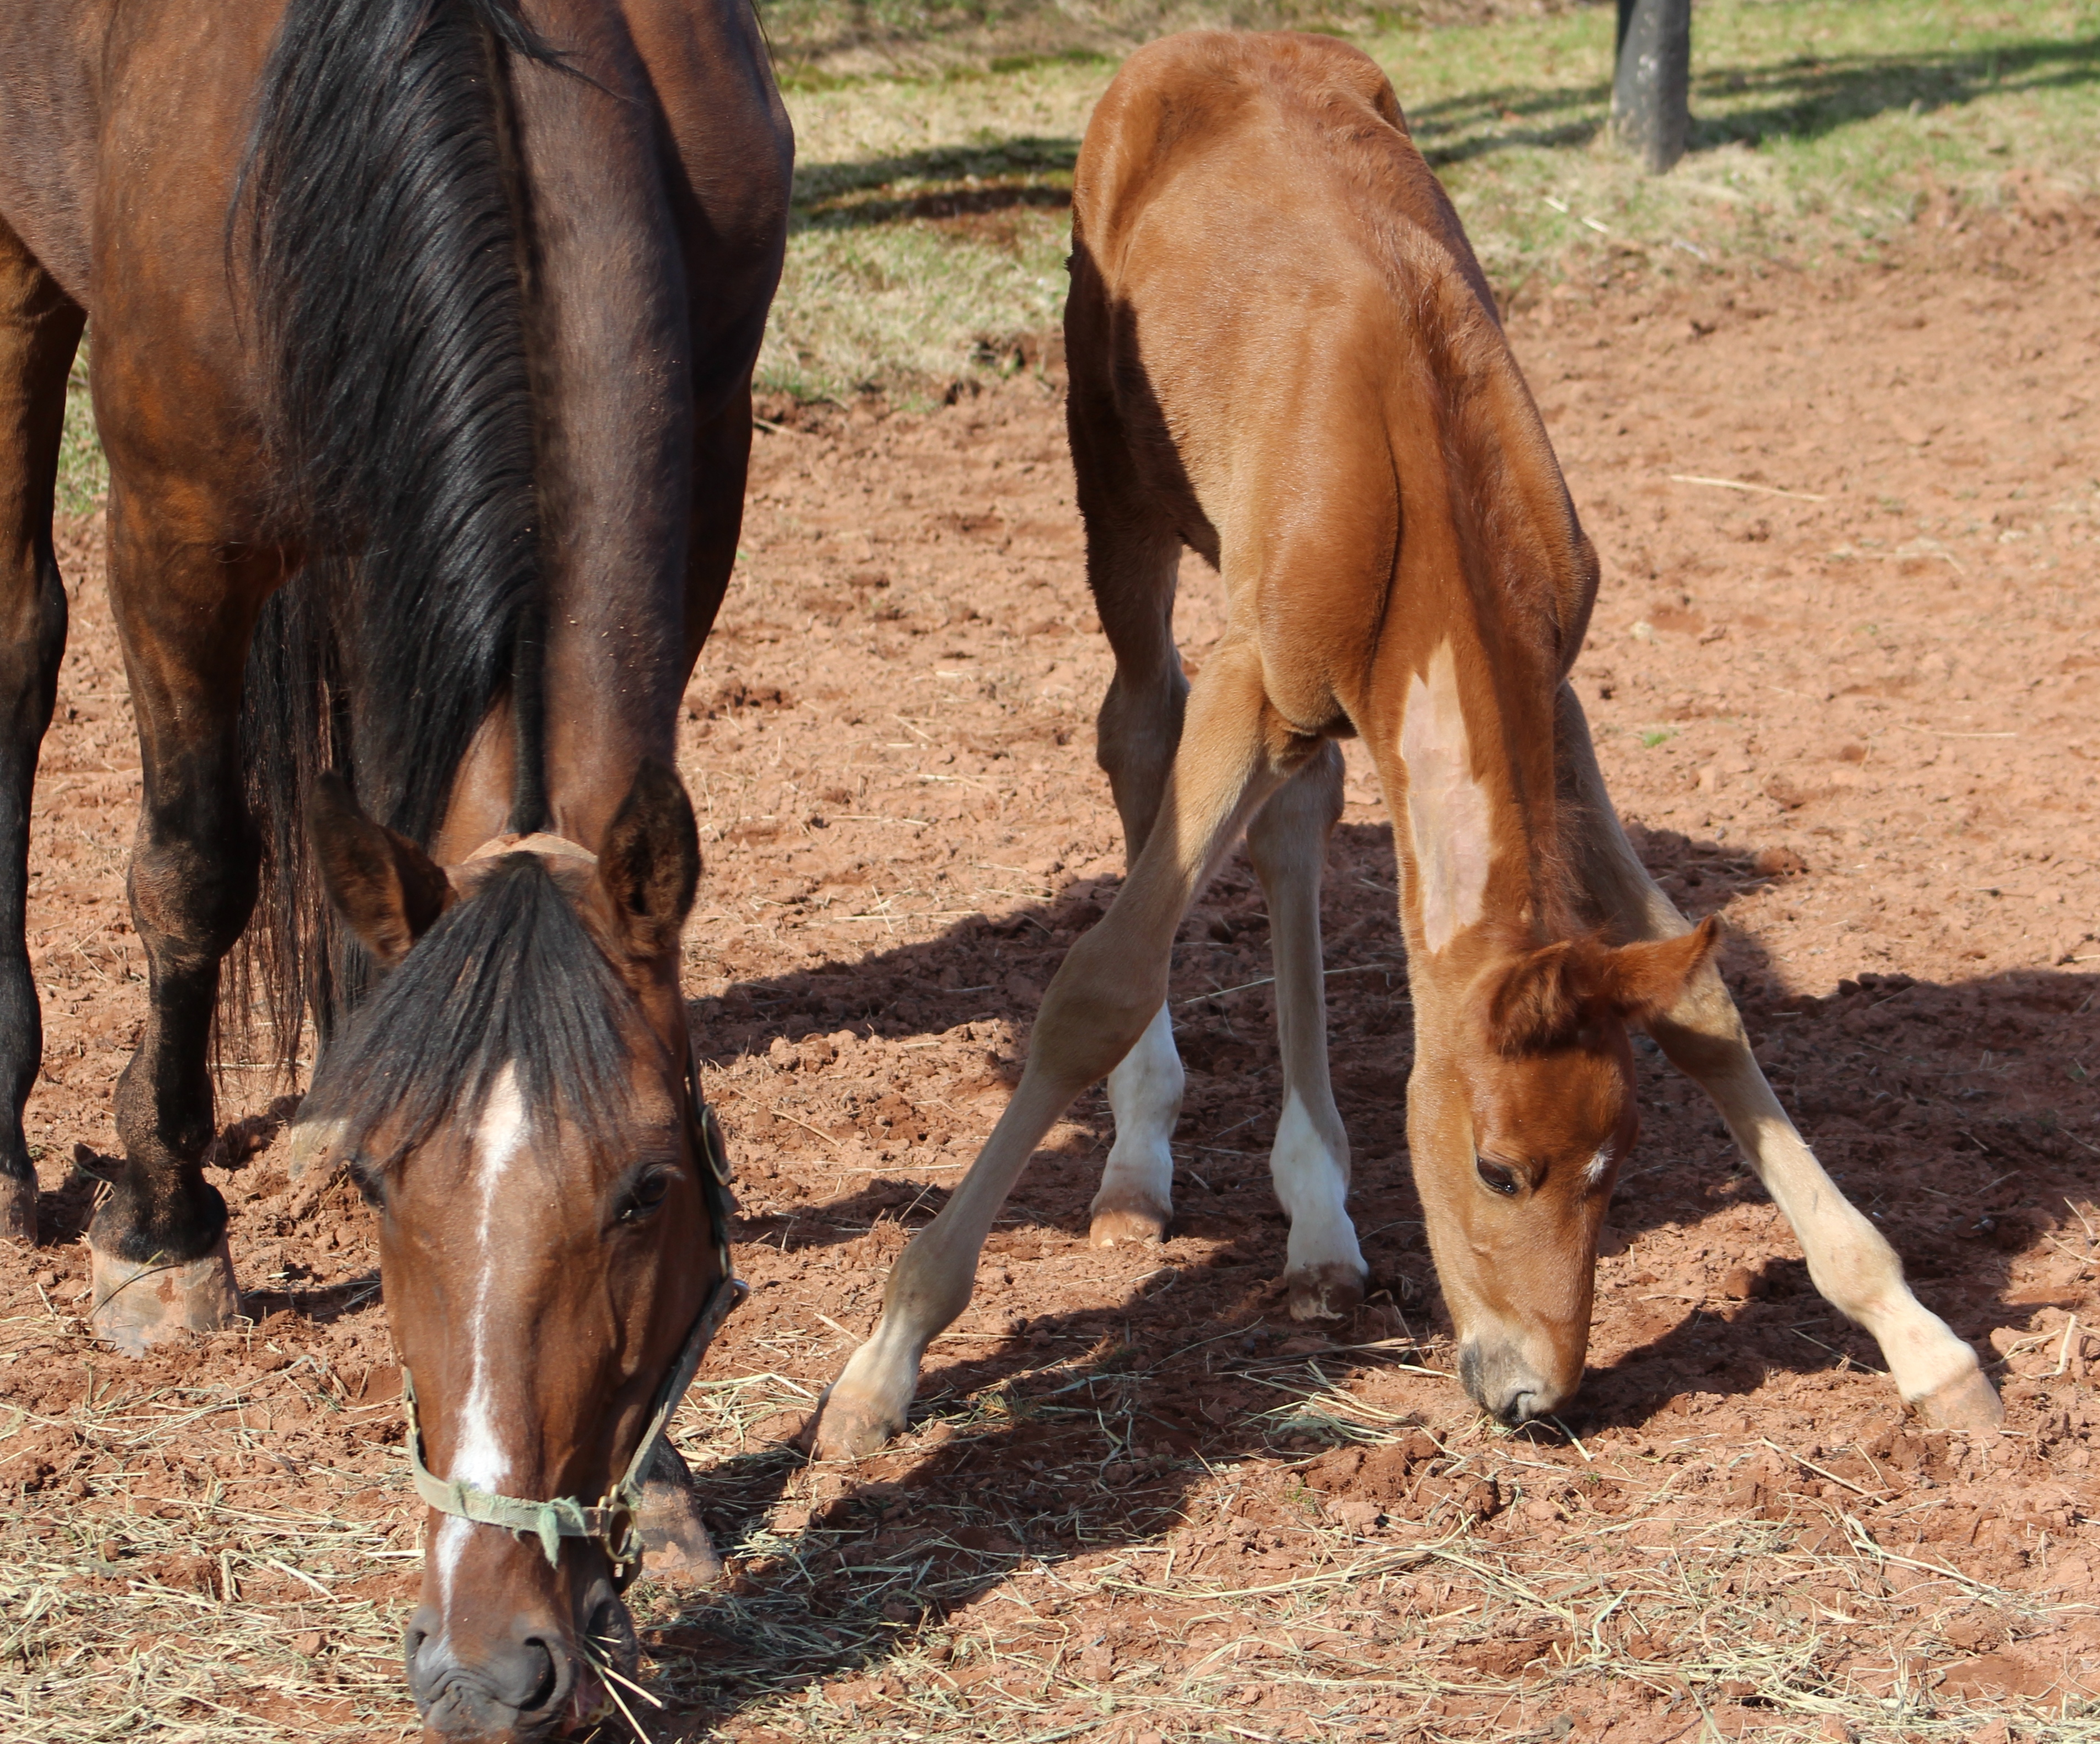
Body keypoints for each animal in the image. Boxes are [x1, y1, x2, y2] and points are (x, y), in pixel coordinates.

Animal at [0, 0, 789, 1735]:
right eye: (379, 1195)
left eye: (649, 1190)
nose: (486, 1665)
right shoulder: (172, 524)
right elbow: (194, 865)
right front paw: (164, 1231)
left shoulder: (704, 463)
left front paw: (668, 1492)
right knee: (21, 640)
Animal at [806, 30, 2002, 1459]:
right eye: (1497, 1166)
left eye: (1616, 1164)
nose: (1536, 1390)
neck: (1419, 475)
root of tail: (1195, 43)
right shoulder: (1249, 676)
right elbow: (1099, 982)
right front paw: (882, 1361)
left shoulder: (1548, 698)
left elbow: (1703, 1001)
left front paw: (1922, 1342)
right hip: (1121, 493)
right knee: (1135, 725)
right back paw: (1139, 1164)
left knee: (1297, 814)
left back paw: (1319, 1220)